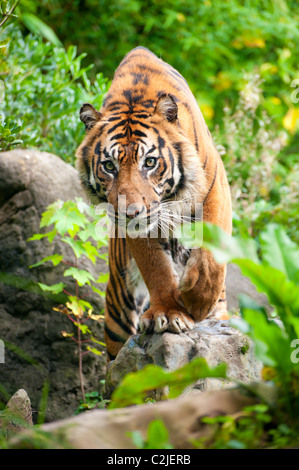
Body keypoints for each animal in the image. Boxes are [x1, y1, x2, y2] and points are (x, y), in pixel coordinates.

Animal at [76, 46, 233, 360]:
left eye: (149, 162)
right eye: (109, 166)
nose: (129, 213)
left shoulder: (215, 189)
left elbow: (210, 255)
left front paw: (197, 301)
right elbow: (156, 266)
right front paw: (170, 313)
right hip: (118, 307)